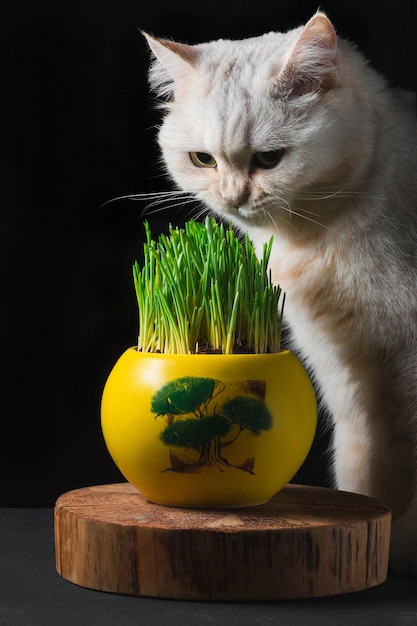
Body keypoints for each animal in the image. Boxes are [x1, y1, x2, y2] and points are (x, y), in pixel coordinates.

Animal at [142, 11, 416, 576]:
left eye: (269, 159)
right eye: (203, 159)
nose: (233, 197)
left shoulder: (401, 365)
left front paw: (398, 548)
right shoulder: (348, 378)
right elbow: (366, 474)